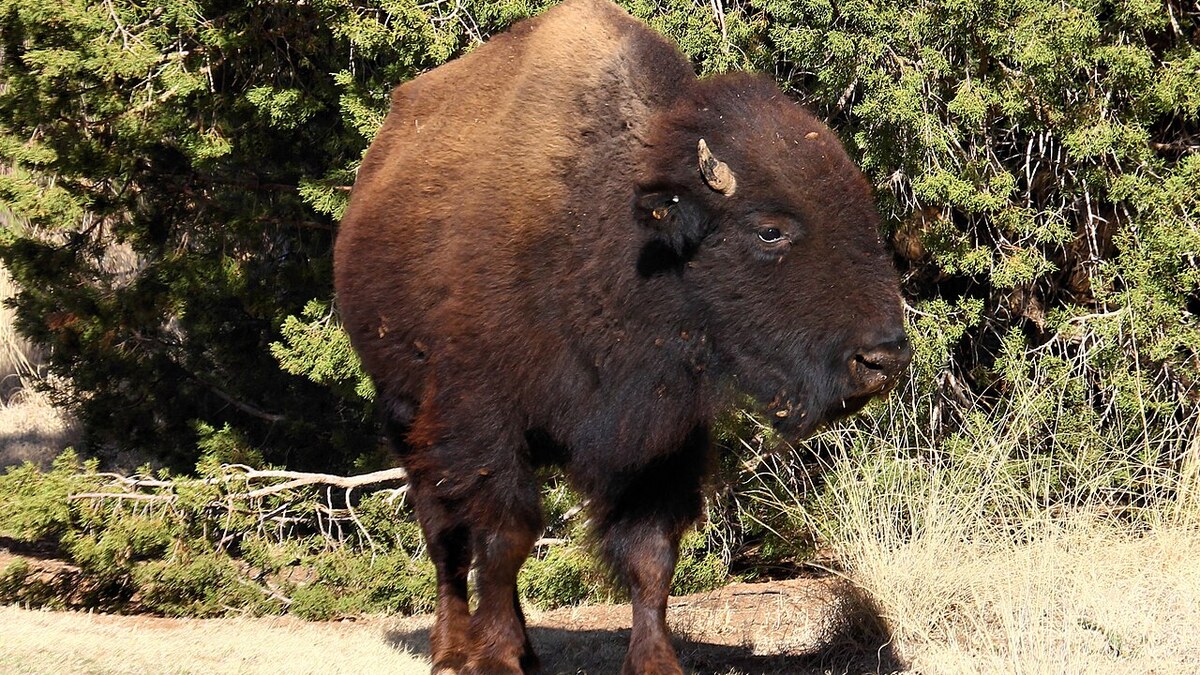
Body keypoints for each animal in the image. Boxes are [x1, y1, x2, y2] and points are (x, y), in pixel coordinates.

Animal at [334, 0, 911, 673]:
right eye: (769, 230)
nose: (883, 358)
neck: (614, 229)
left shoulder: (661, 440)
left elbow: (650, 553)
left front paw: (656, 661)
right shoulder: (483, 423)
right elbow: (503, 537)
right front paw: (495, 656)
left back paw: (521, 648)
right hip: (406, 414)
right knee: (444, 535)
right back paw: (454, 648)